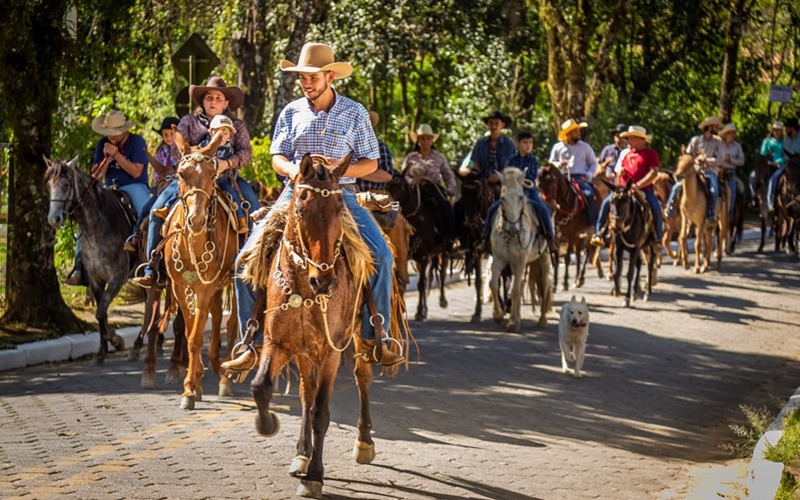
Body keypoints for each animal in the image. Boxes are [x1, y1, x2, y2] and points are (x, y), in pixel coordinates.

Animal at [45, 155, 135, 364]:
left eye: (66, 184)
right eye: (49, 185)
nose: (53, 219)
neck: (98, 229)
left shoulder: (117, 278)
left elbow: (100, 311)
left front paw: (117, 341)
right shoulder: (95, 280)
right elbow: (101, 316)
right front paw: (101, 353)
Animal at [161, 133, 239, 410]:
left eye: (212, 174)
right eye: (181, 173)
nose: (196, 220)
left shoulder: (205, 288)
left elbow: (195, 337)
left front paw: (189, 388)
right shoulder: (180, 286)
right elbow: (189, 330)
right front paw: (193, 385)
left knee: (232, 322)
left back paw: (225, 376)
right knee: (215, 316)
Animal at [248, 154, 404, 498]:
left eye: (338, 209)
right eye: (301, 209)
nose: (324, 279)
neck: (304, 288)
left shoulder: (332, 351)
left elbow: (321, 412)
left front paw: (314, 478)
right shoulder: (277, 343)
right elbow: (262, 386)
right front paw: (269, 425)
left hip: (360, 336)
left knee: (362, 377)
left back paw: (363, 442)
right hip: (305, 352)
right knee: (306, 392)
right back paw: (302, 454)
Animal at [488, 168, 552, 332]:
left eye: (521, 196)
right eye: (502, 198)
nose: (513, 229)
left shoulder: (521, 261)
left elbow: (515, 290)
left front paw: (512, 323)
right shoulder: (499, 259)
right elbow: (494, 284)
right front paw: (498, 315)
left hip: (543, 258)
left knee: (545, 285)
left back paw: (542, 319)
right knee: (522, 284)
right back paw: (517, 317)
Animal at [536, 162, 600, 292]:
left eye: (550, 182)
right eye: (539, 185)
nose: (549, 205)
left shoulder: (570, 233)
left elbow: (566, 257)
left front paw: (564, 283)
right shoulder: (557, 233)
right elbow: (556, 256)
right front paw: (554, 284)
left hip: (586, 232)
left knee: (587, 250)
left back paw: (580, 278)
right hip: (577, 234)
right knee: (578, 252)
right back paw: (576, 280)